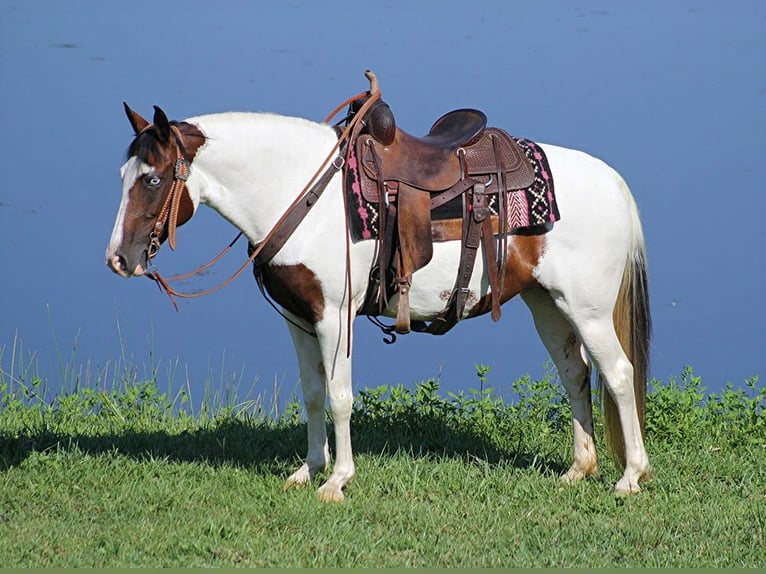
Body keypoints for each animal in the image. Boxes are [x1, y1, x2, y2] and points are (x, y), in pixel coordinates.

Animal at [105, 73, 652, 504]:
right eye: (124, 174)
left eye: (152, 180)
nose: (119, 260)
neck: (300, 193)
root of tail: (613, 180)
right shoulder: (299, 318)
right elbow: (312, 393)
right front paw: (307, 470)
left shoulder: (334, 316)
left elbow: (340, 395)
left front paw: (337, 480)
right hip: (548, 304)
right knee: (575, 374)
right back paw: (578, 469)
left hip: (588, 309)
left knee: (618, 374)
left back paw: (630, 476)